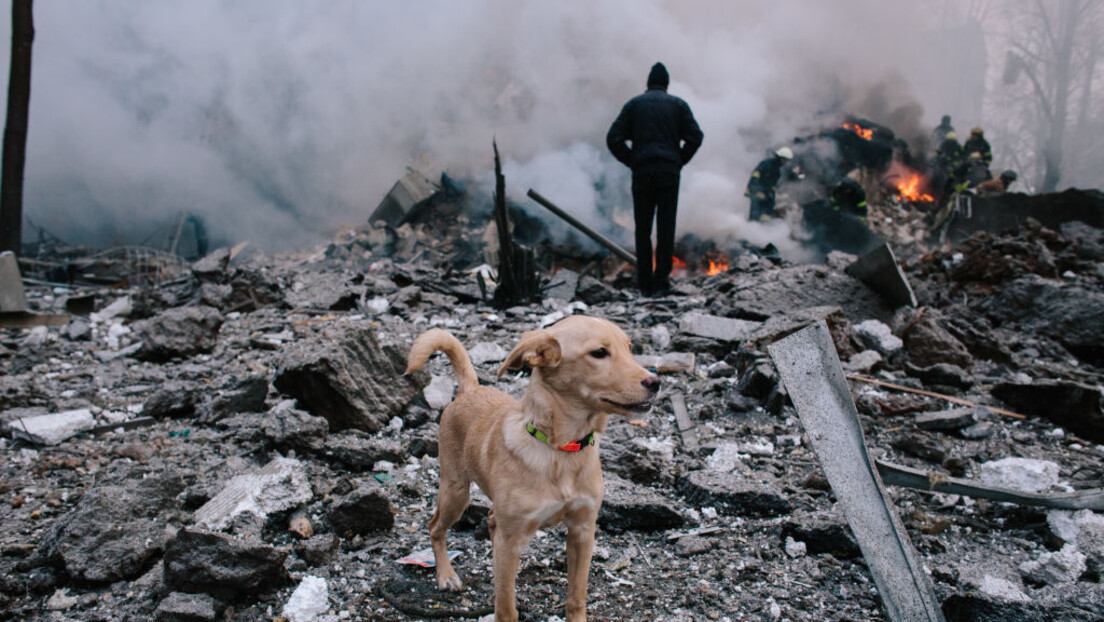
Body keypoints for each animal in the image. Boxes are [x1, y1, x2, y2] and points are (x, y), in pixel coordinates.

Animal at [408, 315, 657, 622]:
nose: (656, 382)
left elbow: (576, 596)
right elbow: (505, 607)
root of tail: (471, 389)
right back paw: (446, 575)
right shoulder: (510, 541)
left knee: (490, 519)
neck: (561, 449)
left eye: (630, 348)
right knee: (435, 527)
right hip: (455, 492)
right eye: (599, 353)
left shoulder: (583, 531)